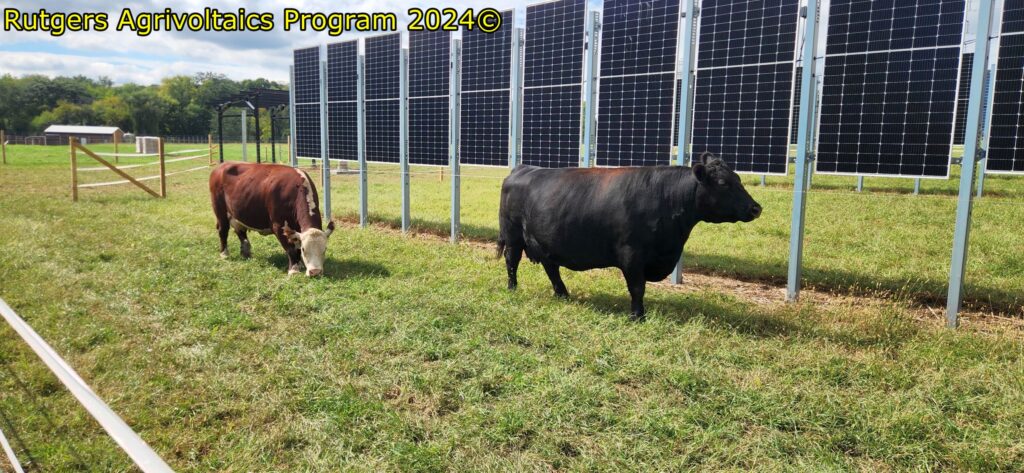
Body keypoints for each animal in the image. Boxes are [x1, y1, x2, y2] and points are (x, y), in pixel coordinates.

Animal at [495, 153, 761, 319]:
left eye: (738, 178)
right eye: (723, 182)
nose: (756, 208)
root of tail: (522, 168)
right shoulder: (631, 254)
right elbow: (637, 287)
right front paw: (637, 315)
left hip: (546, 240)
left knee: (551, 267)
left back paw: (562, 293)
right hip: (513, 235)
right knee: (512, 261)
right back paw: (512, 288)